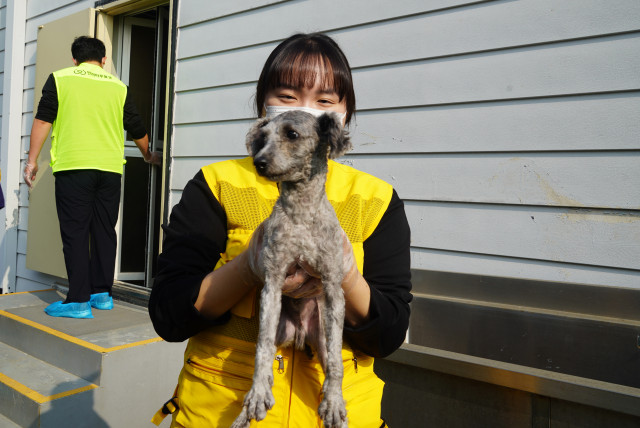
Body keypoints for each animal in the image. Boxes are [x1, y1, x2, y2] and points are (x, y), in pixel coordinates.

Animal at [229, 111, 350, 428]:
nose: (258, 162)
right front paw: (257, 394)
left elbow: (337, 361)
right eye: (262, 137)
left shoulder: (332, 287)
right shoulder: (272, 283)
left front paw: (334, 403)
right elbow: (260, 348)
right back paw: (247, 411)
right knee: (270, 354)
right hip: (279, 326)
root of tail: (300, 334)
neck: (301, 213)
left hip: (321, 333)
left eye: (292, 134)